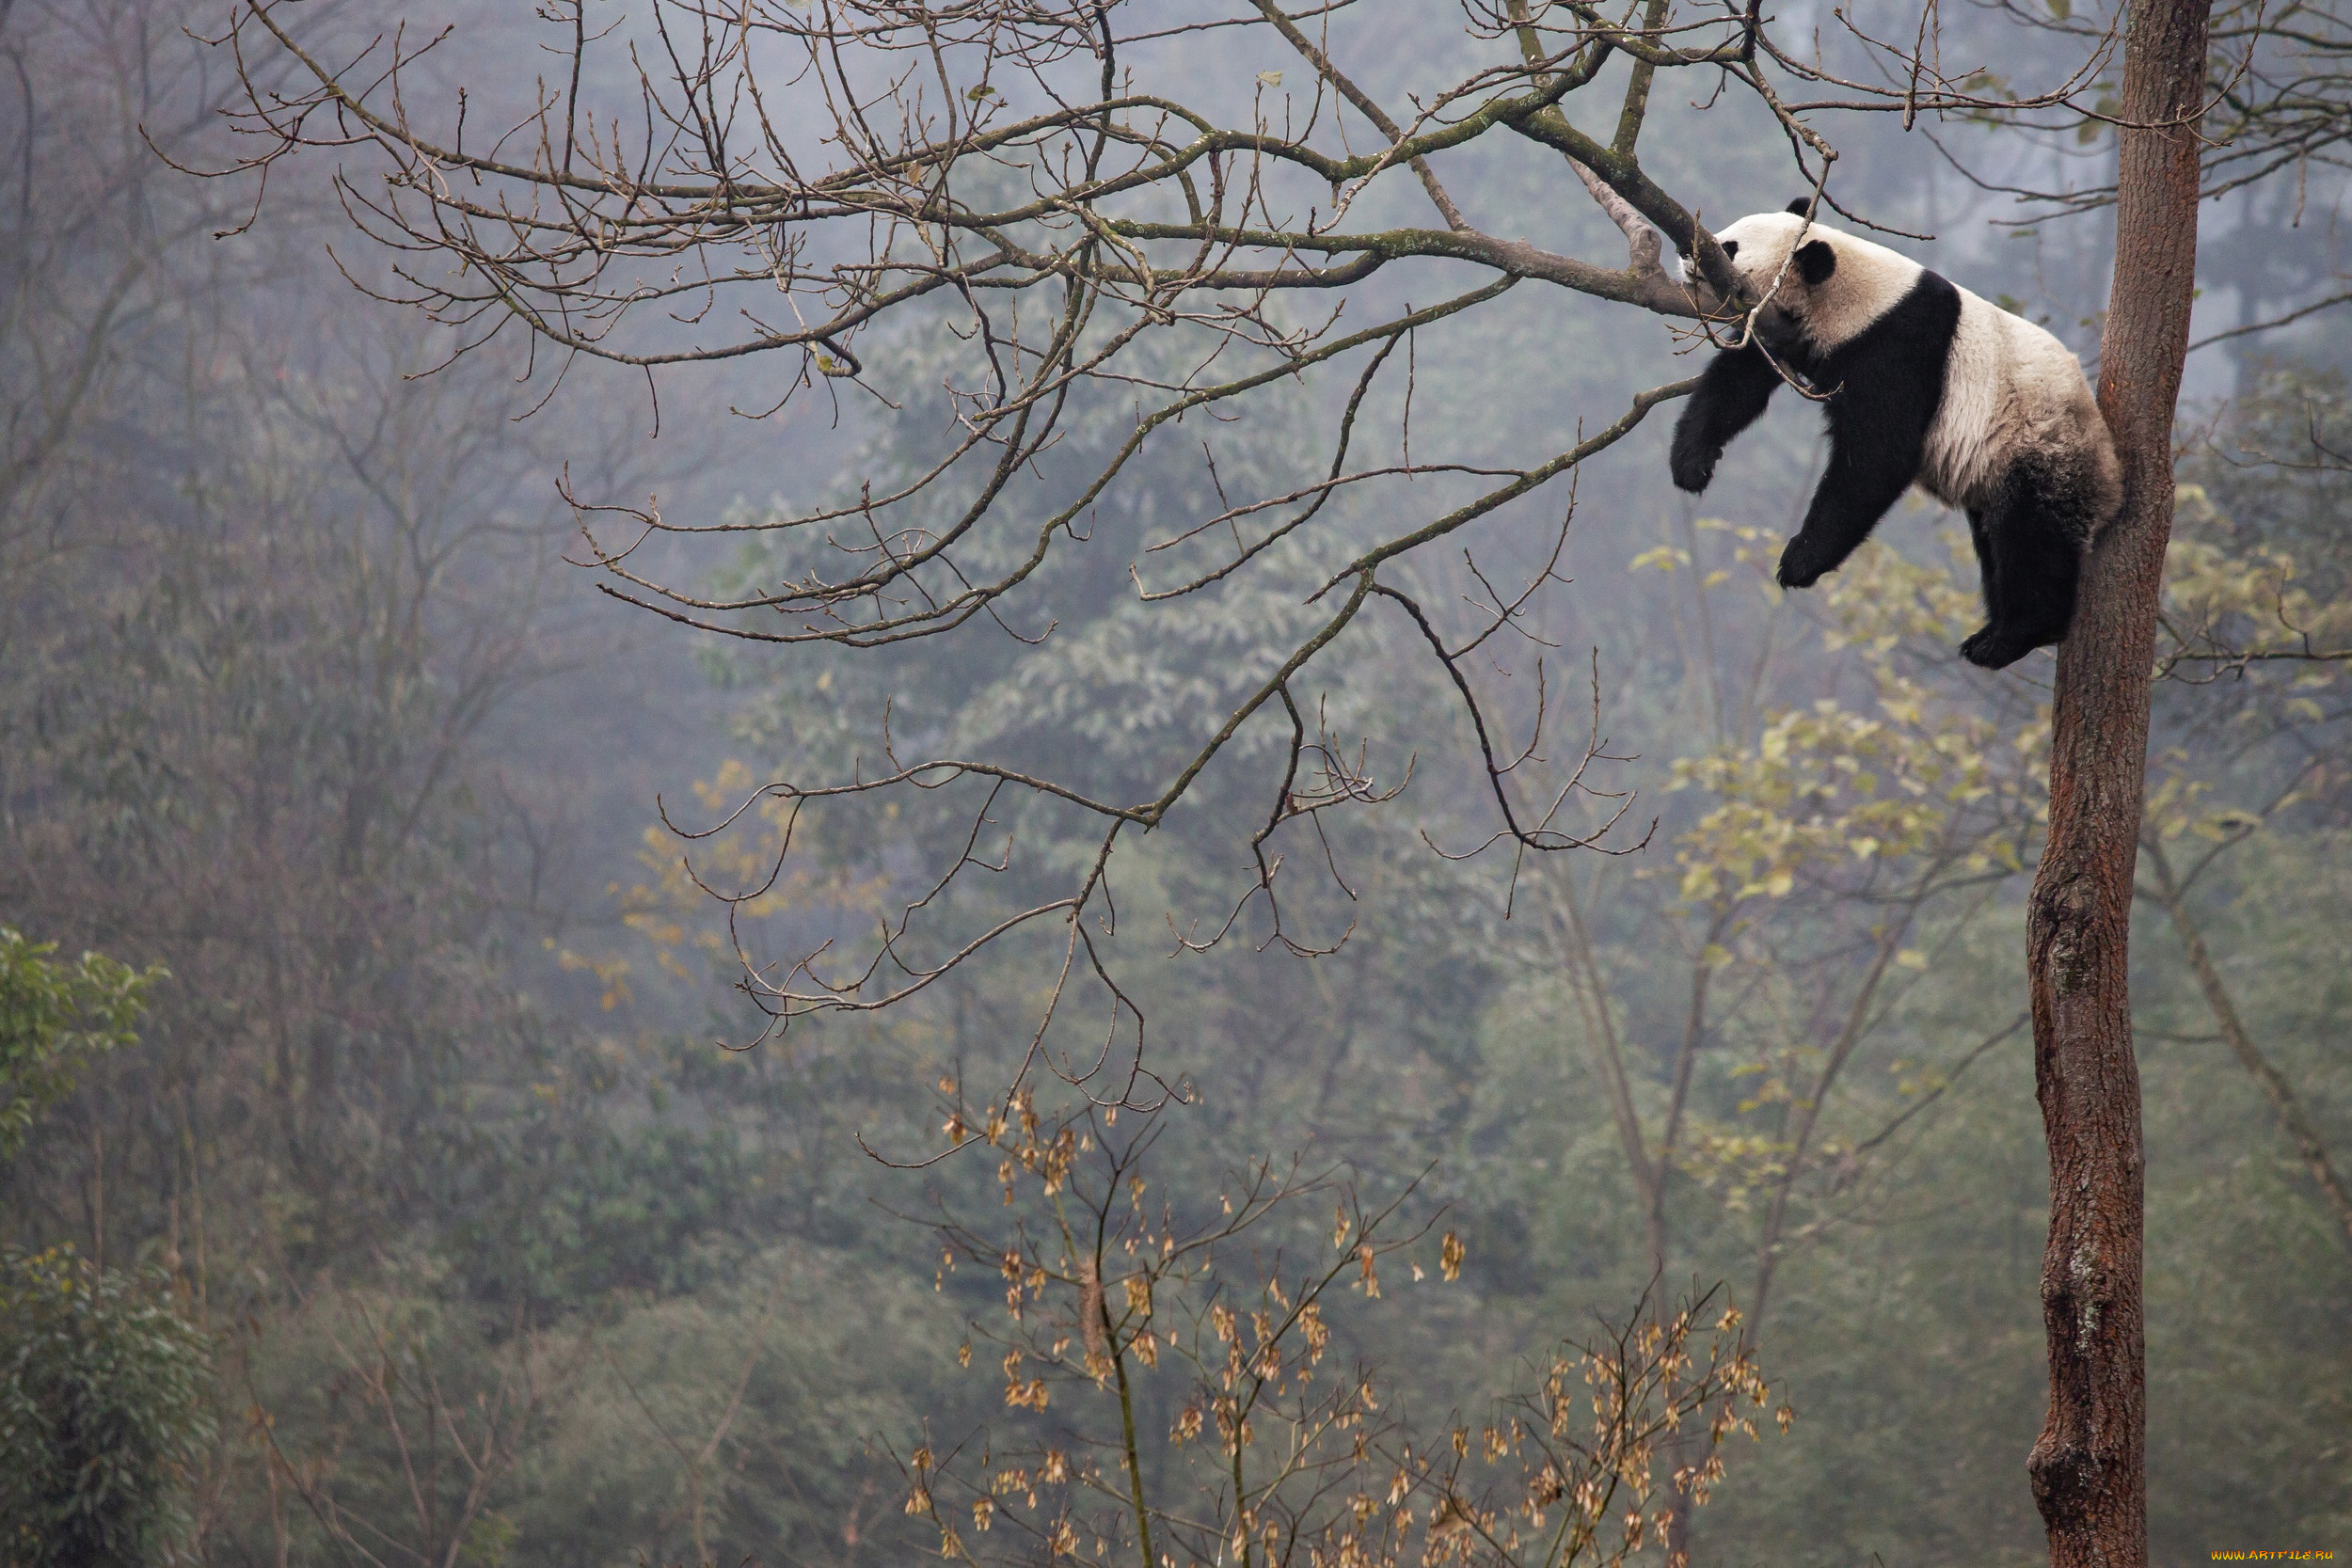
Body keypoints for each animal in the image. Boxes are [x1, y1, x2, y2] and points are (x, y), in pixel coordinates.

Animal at [1665, 201, 2126, 667]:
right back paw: (1990, 634)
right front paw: (1692, 463)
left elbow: (1877, 456)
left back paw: (2012, 636)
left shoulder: (1897, 347)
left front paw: (1800, 561)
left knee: (2031, 538)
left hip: (2041, 445)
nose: (1684, 253)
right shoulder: (1783, 329)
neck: (1858, 296)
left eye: (1728, 246)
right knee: (1996, 541)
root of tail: (2113, 483)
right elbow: (1740, 378)